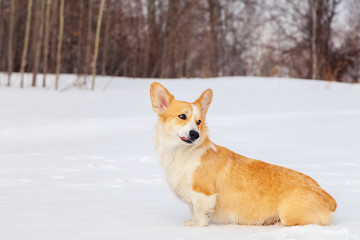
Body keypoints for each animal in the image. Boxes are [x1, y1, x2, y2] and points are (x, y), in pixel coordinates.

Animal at [149, 82, 334, 227]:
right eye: (182, 116)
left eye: (198, 122)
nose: (195, 134)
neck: (182, 153)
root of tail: (322, 192)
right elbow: (194, 210)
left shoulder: (203, 193)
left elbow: (200, 213)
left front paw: (195, 225)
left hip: (288, 214)